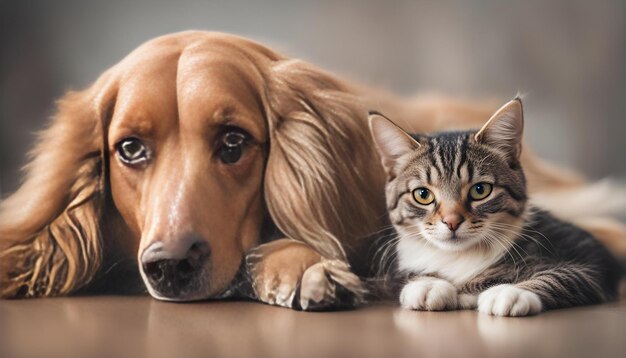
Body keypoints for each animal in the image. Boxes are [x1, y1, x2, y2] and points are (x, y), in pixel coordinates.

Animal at [368, 98, 620, 316]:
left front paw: (511, 292)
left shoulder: (592, 257)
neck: (462, 256)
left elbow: (563, 276)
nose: (452, 221)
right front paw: (427, 284)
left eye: (480, 190)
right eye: (422, 195)